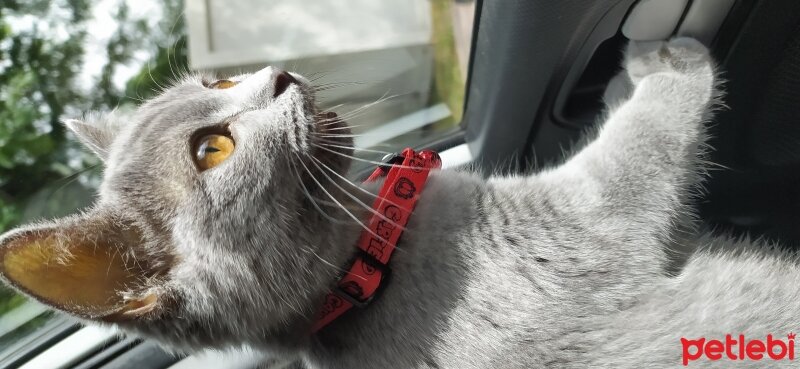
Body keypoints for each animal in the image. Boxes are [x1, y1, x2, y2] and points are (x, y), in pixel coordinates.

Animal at [1, 38, 800, 368]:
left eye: (217, 82)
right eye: (212, 149)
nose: (278, 74)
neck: (365, 272)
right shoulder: (584, 214)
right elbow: (644, 140)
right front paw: (665, 58)